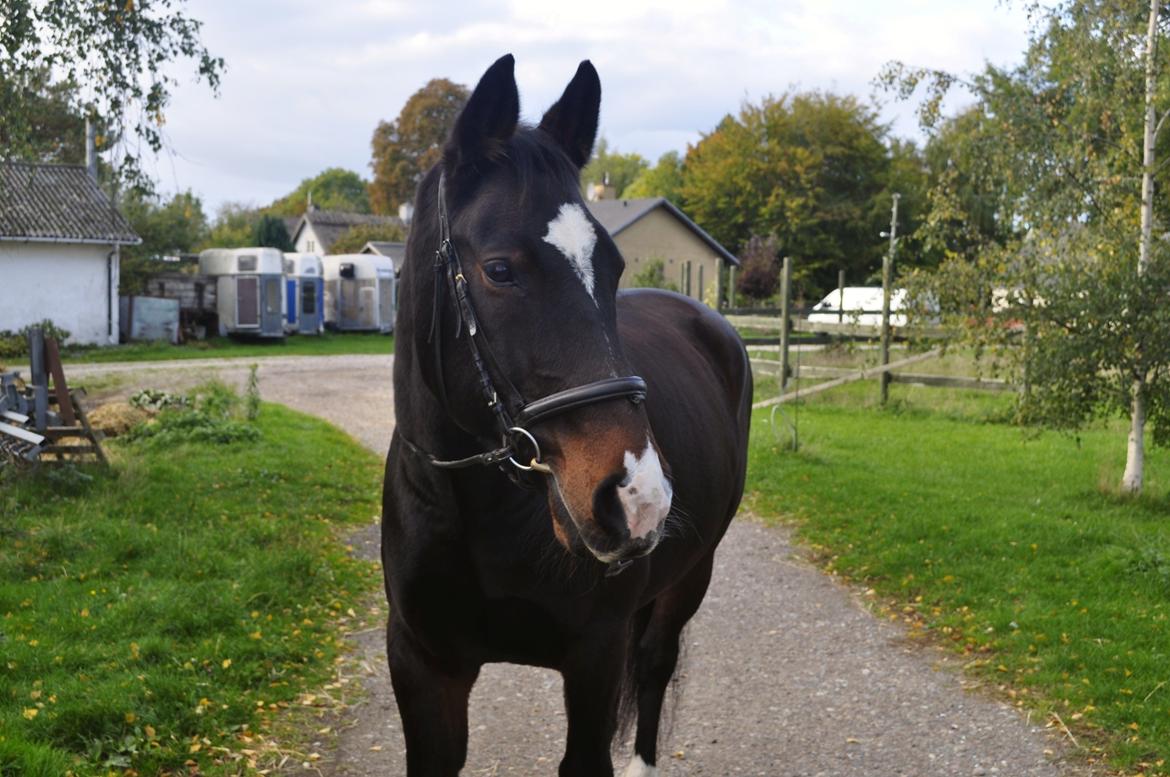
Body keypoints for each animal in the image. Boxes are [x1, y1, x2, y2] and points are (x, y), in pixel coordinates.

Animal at [381, 56, 748, 777]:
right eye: (499, 269)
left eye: (613, 263)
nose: (637, 497)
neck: (472, 505)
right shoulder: (422, 666)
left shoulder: (595, 660)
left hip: (693, 573)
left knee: (655, 664)